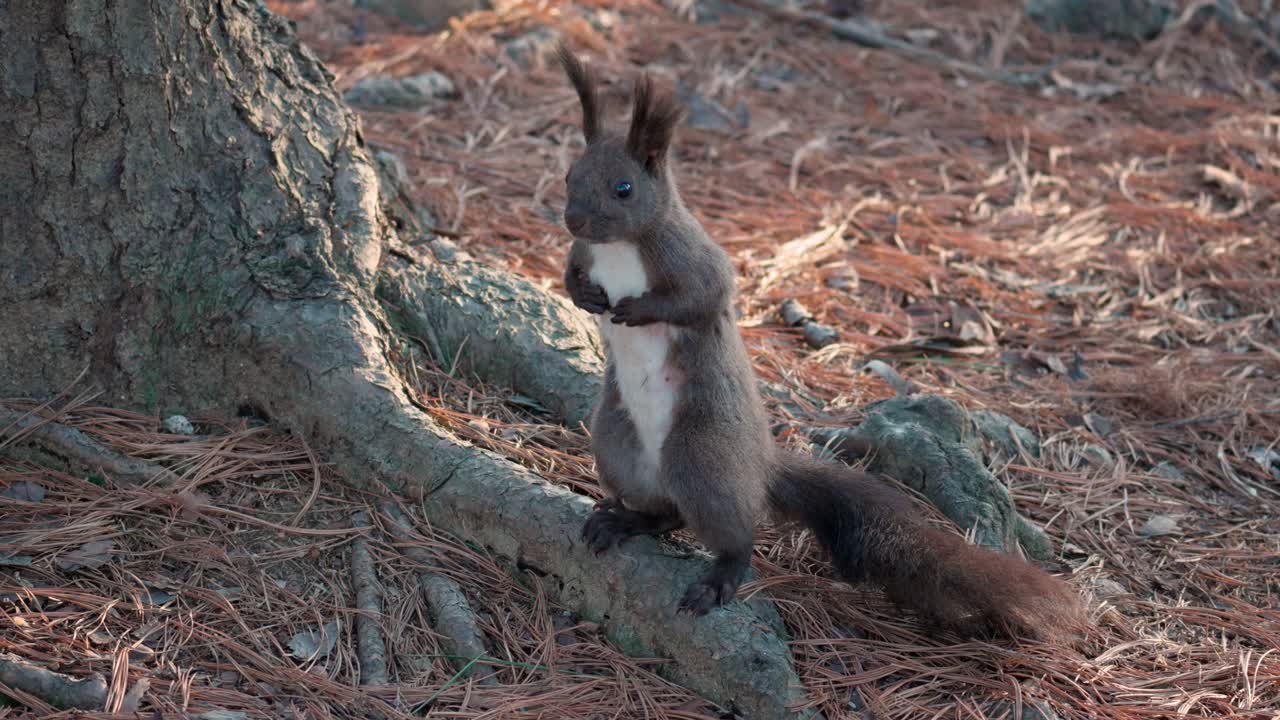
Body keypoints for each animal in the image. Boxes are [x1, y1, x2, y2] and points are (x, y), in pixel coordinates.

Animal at [554, 44, 1086, 642]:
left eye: (624, 188)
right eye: (570, 173)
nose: (572, 218)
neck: (619, 247)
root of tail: (758, 465)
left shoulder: (688, 256)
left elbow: (702, 296)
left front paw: (635, 309)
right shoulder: (583, 252)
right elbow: (569, 273)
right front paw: (584, 295)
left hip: (700, 456)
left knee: (732, 532)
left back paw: (721, 575)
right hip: (616, 444)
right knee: (664, 511)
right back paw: (624, 519)